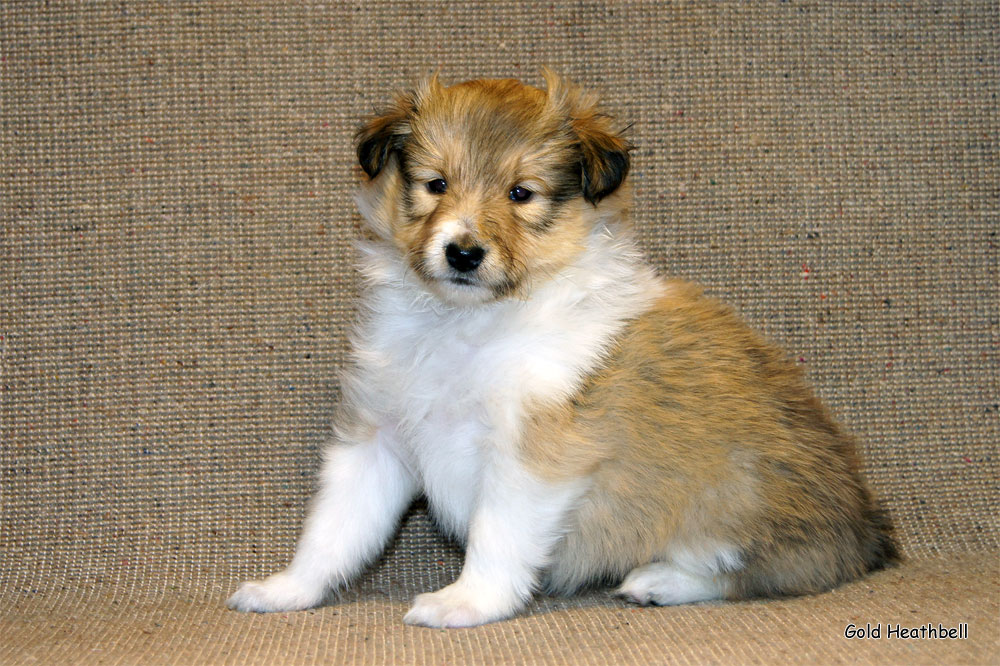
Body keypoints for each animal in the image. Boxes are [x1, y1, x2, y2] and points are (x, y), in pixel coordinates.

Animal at [227, 70, 900, 624]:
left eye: (521, 193)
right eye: (435, 184)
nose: (463, 253)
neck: (468, 325)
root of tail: (868, 529)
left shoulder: (534, 453)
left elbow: (496, 536)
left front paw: (466, 603)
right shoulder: (377, 438)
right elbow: (333, 530)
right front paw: (285, 590)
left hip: (735, 497)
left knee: (752, 571)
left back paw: (658, 581)